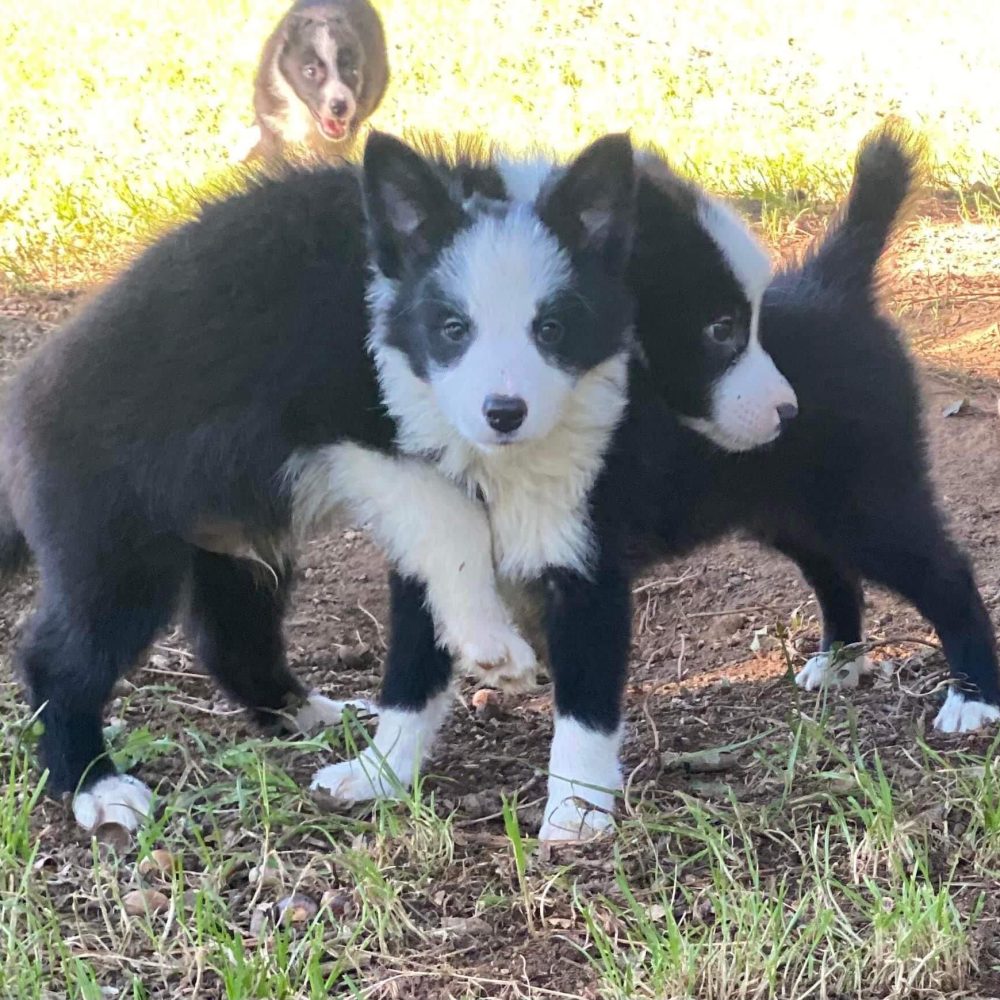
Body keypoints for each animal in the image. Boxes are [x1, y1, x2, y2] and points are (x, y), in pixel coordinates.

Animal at [0, 133, 636, 836]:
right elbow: (452, 513)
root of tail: (22, 407)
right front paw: (491, 642)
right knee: (59, 656)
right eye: (454, 329)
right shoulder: (344, 425)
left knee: (230, 634)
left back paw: (305, 712)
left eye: (552, 327)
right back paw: (95, 785)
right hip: (117, 545)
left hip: (229, 534)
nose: (505, 412)